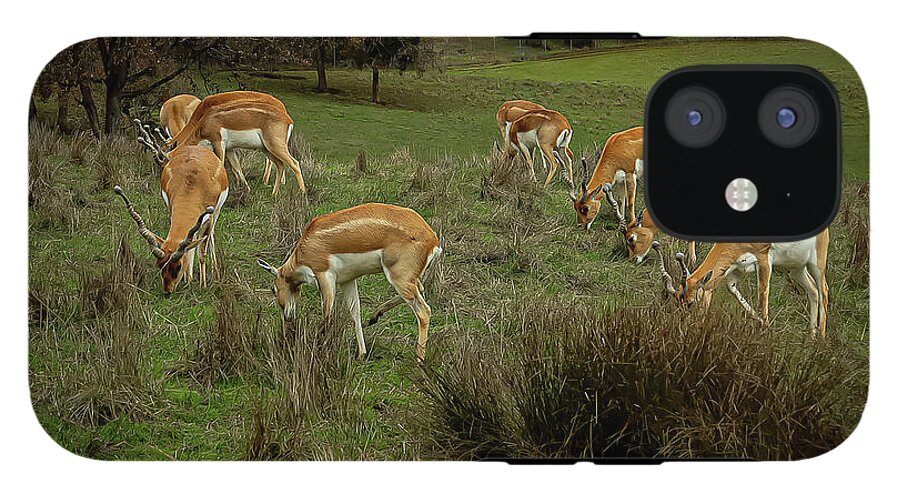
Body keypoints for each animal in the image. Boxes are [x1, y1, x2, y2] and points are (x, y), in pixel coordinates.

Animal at [114, 135, 229, 294]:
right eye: (160, 265)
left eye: (178, 266)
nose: (168, 291)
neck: (192, 185)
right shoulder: (171, 208)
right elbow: (189, 247)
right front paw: (188, 279)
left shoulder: (208, 218)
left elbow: (202, 251)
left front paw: (203, 285)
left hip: (216, 213)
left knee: (209, 237)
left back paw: (216, 272)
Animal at [257, 203, 442, 363]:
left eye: (273, 289)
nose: (287, 316)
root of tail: (432, 239)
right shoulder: (347, 280)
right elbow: (355, 311)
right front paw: (362, 353)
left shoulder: (324, 276)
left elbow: (327, 313)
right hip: (407, 279)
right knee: (420, 289)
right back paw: (374, 316)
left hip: (398, 277)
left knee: (424, 311)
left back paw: (419, 360)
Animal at [653, 229, 830, 337]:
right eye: (677, 302)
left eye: (690, 303)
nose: (684, 327)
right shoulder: (735, 270)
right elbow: (734, 292)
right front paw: (762, 324)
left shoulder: (764, 261)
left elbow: (762, 296)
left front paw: (764, 331)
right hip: (796, 268)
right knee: (813, 291)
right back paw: (811, 337)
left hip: (816, 264)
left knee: (824, 291)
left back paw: (820, 339)